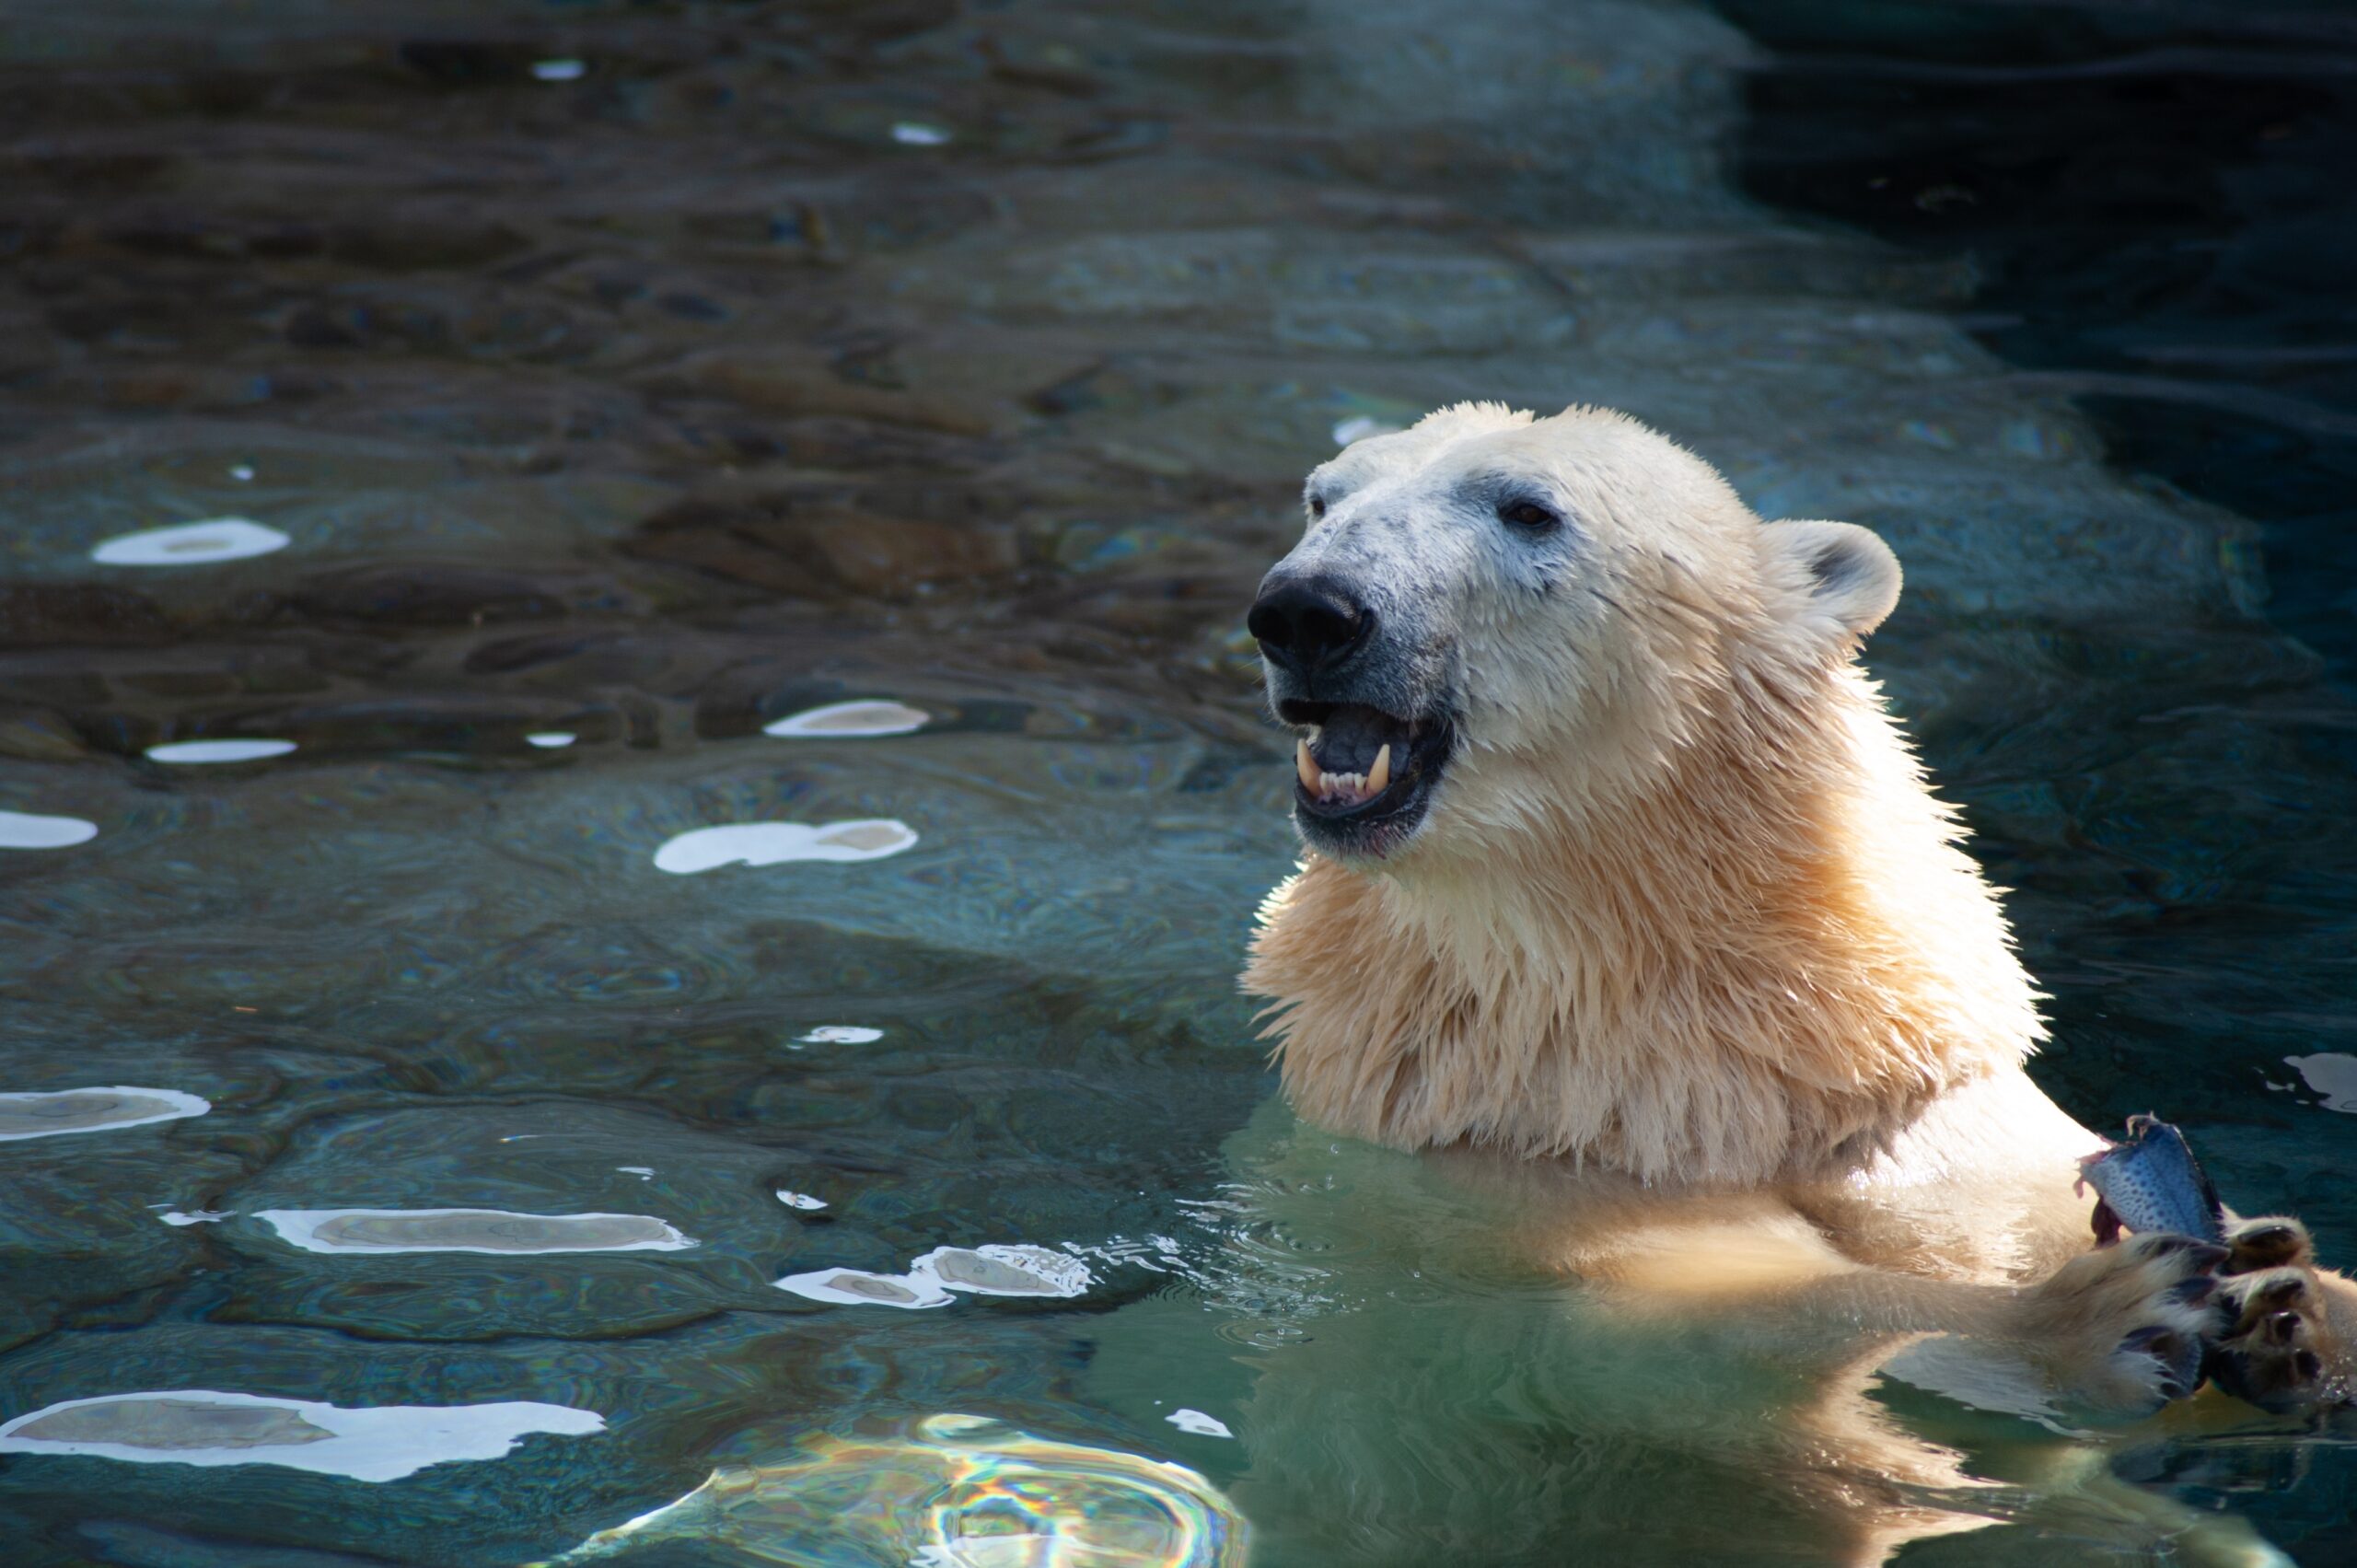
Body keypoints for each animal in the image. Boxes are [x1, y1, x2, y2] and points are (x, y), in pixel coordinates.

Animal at [1235, 401, 2338, 1556]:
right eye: (1324, 496)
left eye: (1529, 509)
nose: (1306, 610)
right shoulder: (1498, 1154)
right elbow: (1700, 1311)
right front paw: (2092, 1317)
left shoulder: (1904, 1099)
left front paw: (2286, 1290)